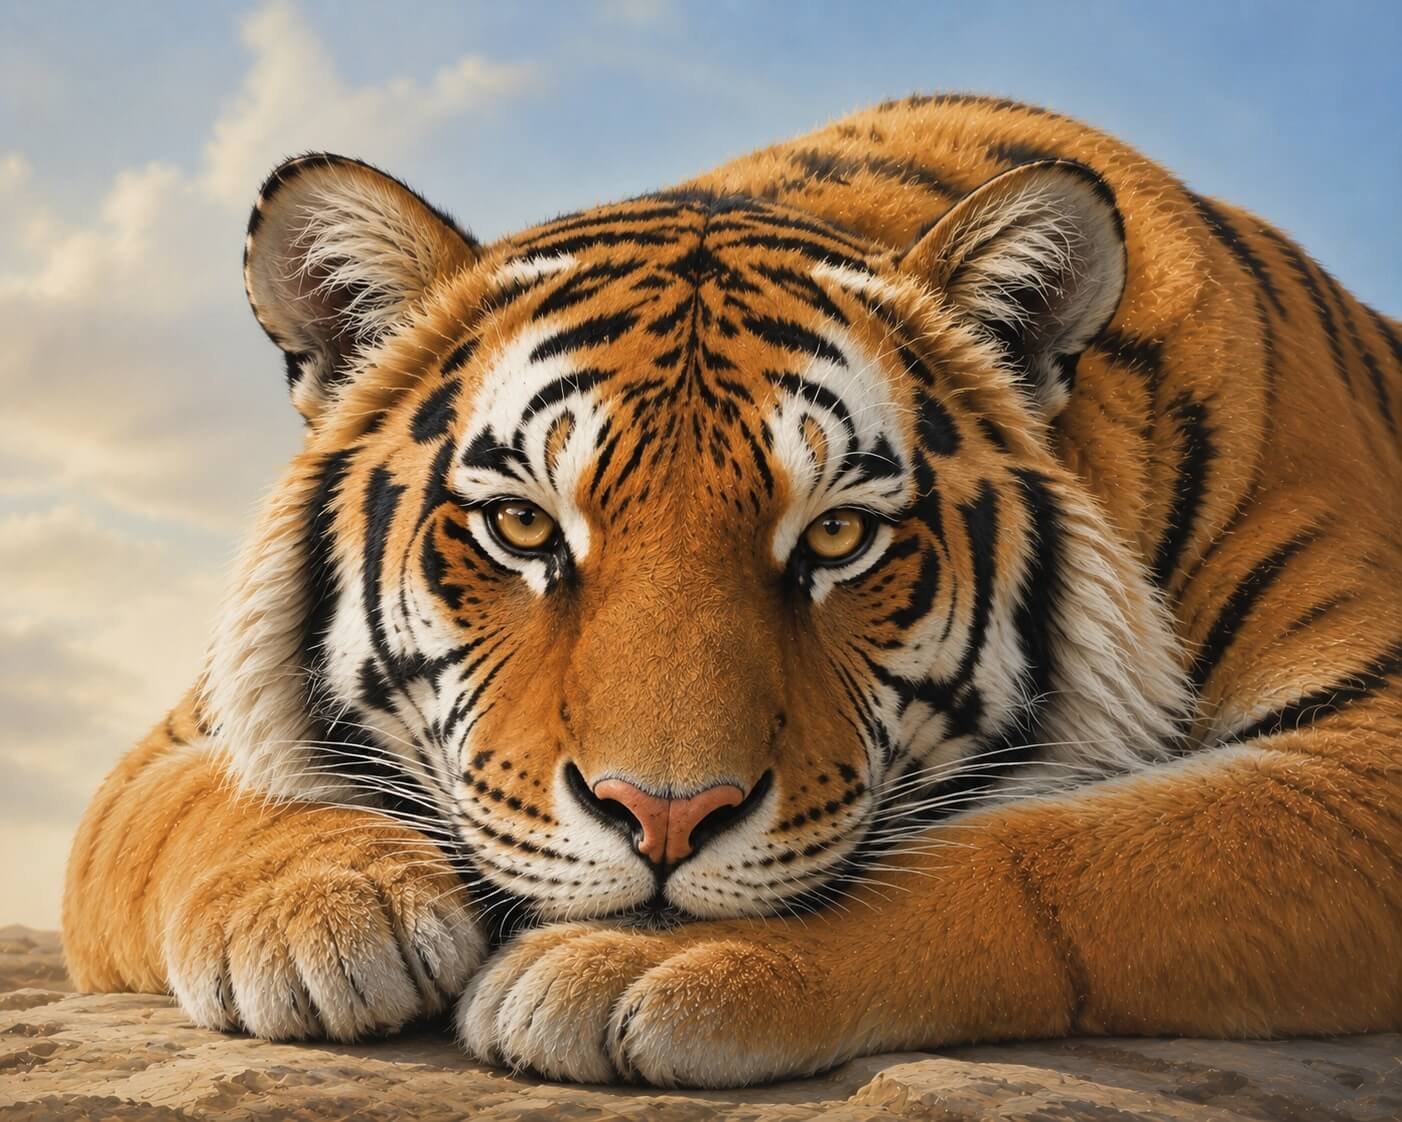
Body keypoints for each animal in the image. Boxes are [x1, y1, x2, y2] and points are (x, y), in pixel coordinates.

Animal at [63, 93, 1402, 1089]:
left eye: (839, 538)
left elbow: (1040, 853)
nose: (662, 820)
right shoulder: (169, 745)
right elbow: (196, 811)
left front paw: (642, 966)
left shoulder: (1369, 755)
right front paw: (325, 922)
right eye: (520, 525)